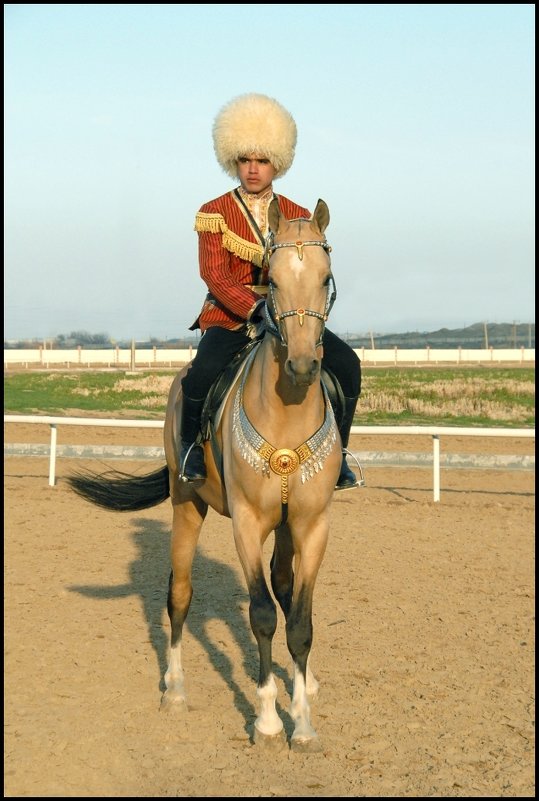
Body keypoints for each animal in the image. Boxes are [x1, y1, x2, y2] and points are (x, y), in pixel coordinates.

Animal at [68, 198, 346, 752]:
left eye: (325, 277)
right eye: (272, 282)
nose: (304, 364)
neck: (286, 409)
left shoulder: (311, 525)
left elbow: (300, 621)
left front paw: (303, 722)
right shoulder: (246, 524)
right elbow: (261, 615)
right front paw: (267, 721)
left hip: (284, 529)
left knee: (285, 591)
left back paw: (305, 683)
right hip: (186, 504)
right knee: (179, 595)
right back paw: (175, 690)